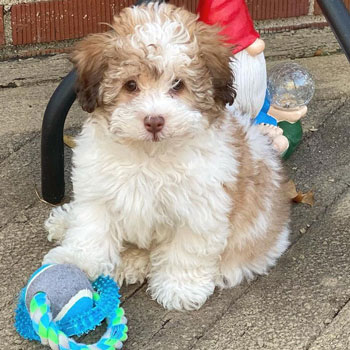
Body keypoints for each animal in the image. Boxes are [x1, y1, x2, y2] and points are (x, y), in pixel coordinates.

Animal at [43, 2, 290, 308]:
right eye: (131, 85)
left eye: (178, 85)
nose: (154, 121)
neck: (149, 154)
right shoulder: (98, 189)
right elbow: (91, 228)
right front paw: (74, 261)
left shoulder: (200, 209)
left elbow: (186, 250)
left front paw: (179, 288)